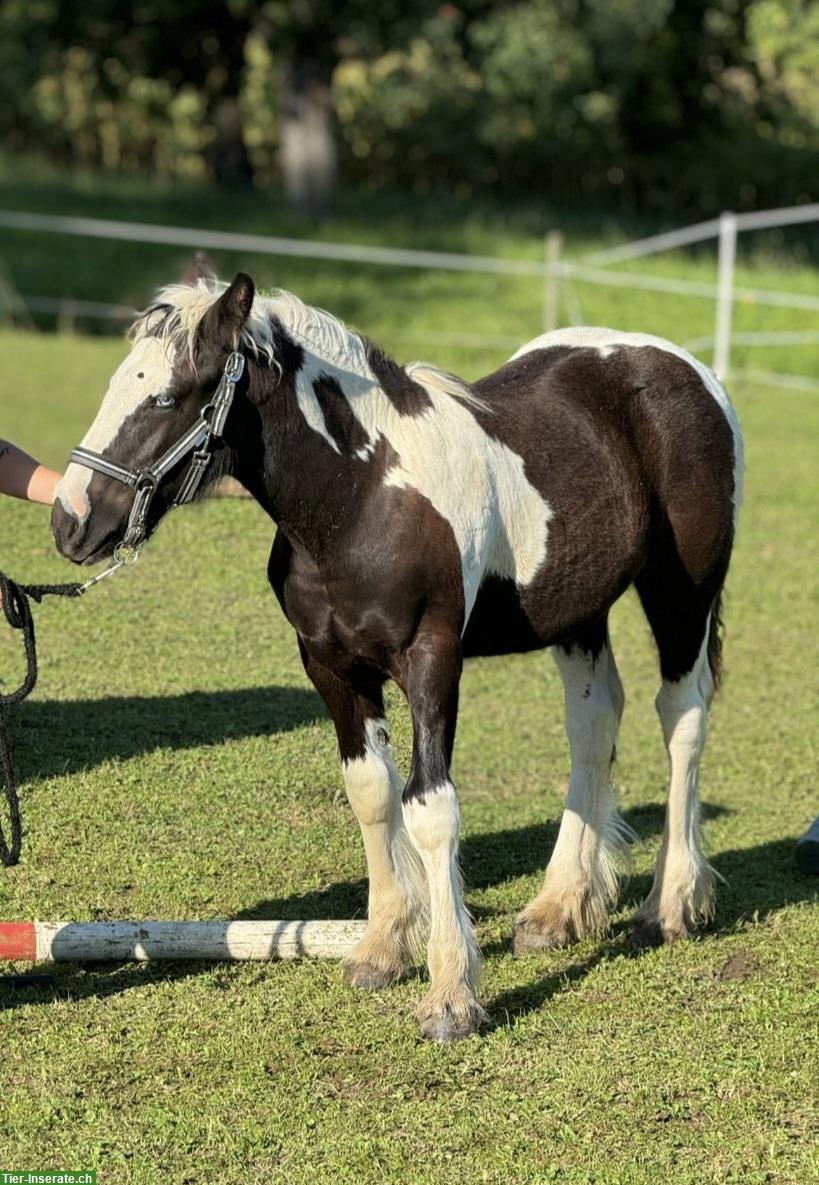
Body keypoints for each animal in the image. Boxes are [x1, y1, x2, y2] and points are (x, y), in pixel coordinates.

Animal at [51, 257, 744, 1038]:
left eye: (168, 397)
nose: (70, 520)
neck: (361, 499)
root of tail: (682, 364)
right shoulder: (331, 667)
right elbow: (371, 793)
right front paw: (381, 949)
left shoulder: (431, 661)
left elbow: (430, 808)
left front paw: (450, 997)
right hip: (577, 612)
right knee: (594, 723)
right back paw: (558, 909)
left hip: (682, 593)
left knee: (681, 718)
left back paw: (670, 904)